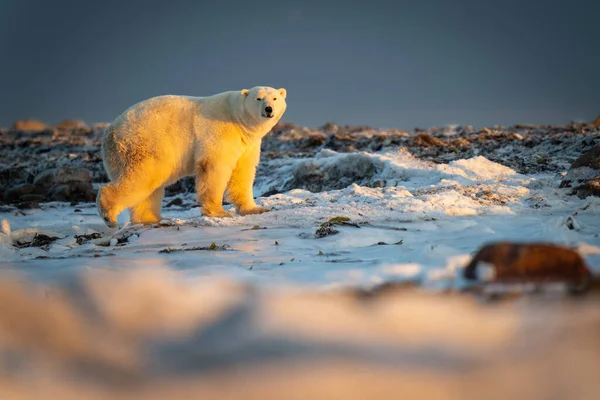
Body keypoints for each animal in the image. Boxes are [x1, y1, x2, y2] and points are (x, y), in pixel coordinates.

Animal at [96, 85, 288, 227]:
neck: (236, 118)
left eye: (275, 98)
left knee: (149, 186)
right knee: (142, 176)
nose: (268, 109)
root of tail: (109, 133)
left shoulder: (247, 144)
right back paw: (109, 216)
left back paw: (151, 219)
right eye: (258, 98)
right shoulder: (219, 132)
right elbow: (214, 166)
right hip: (144, 144)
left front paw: (255, 209)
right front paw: (219, 212)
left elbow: (243, 171)